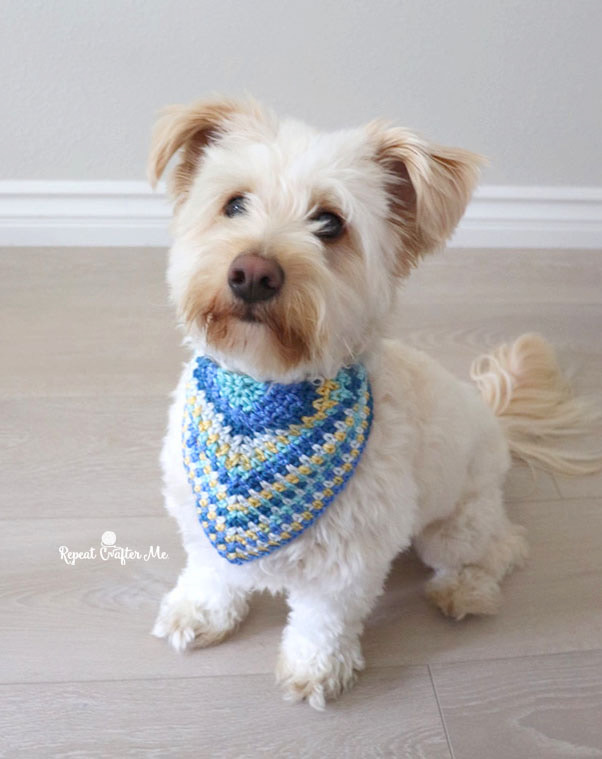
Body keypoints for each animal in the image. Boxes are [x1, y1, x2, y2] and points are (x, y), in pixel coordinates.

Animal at [148, 96, 596, 712]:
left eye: (330, 223)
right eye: (234, 203)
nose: (253, 273)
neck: (264, 393)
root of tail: (492, 420)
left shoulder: (350, 558)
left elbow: (323, 620)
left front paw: (315, 669)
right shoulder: (200, 514)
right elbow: (212, 570)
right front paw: (201, 611)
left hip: (454, 525)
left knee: (504, 546)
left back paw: (466, 588)